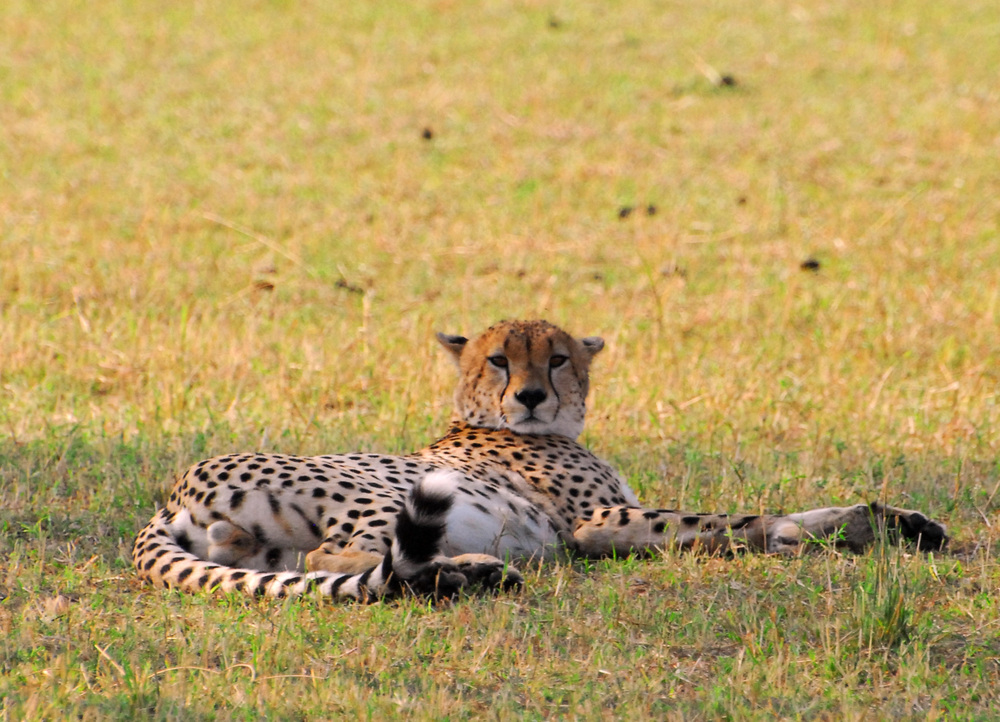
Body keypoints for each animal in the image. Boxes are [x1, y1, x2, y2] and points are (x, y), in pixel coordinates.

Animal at [135, 320, 944, 596]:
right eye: (499, 359)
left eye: (555, 358)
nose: (528, 396)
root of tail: (175, 489)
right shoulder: (592, 522)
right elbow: (732, 517)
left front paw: (892, 524)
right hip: (382, 489)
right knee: (344, 559)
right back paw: (468, 571)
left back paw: (471, 574)